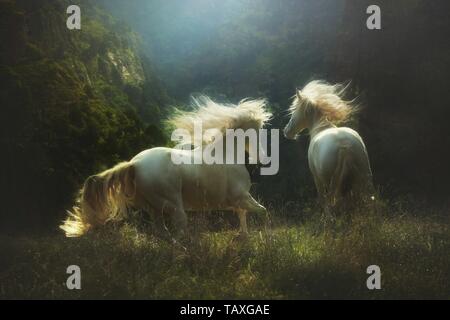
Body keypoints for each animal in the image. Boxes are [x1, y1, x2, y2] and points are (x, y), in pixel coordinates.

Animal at [60, 97, 270, 238]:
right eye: (258, 132)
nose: (263, 157)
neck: (224, 154)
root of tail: (134, 164)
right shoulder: (240, 196)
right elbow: (261, 210)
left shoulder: (236, 201)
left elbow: (244, 216)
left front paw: (244, 237)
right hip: (173, 205)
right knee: (179, 232)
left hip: (155, 208)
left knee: (163, 233)